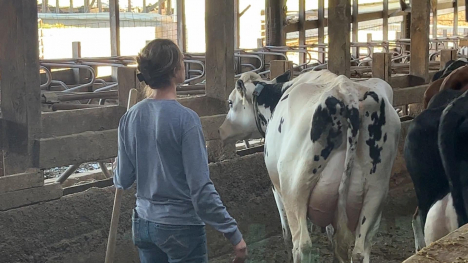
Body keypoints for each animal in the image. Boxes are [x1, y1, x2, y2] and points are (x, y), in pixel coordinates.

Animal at [218, 70, 400, 263]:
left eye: (230, 102)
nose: (220, 131)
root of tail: (347, 93)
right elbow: (331, 232)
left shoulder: (276, 187)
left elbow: (286, 232)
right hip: (376, 192)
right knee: (361, 248)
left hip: (295, 189)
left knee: (302, 244)